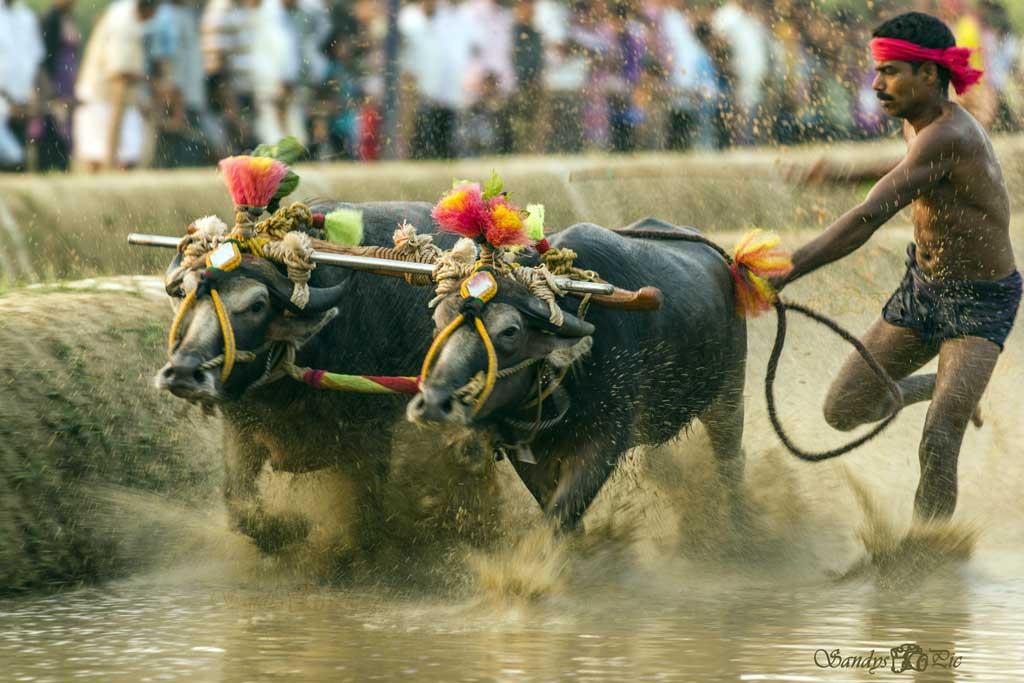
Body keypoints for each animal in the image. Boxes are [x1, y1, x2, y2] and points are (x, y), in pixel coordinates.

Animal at [403, 222, 749, 532]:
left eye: (510, 331)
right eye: (439, 322)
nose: (433, 404)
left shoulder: (604, 441)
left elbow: (561, 514)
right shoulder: (526, 451)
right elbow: (558, 512)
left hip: (729, 395)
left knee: (730, 462)